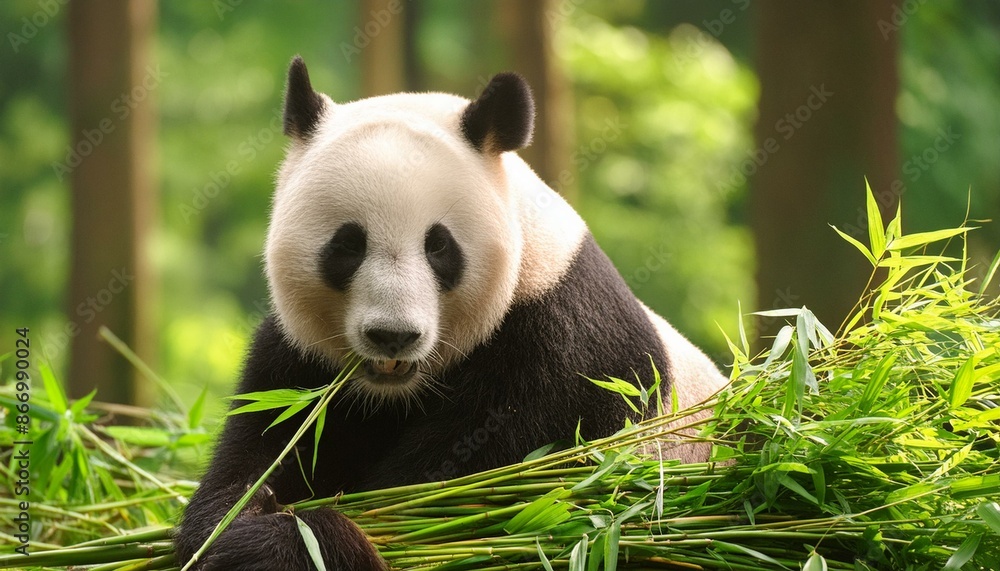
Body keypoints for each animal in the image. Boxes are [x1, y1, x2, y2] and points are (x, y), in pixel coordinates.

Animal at [175, 56, 729, 570]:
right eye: (348, 244)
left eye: (438, 246)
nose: (392, 336)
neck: (396, 393)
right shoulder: (300, 360)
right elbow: (256, 458)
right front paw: (256, 522)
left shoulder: (564, 354)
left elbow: (464, 489)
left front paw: (302, 540)